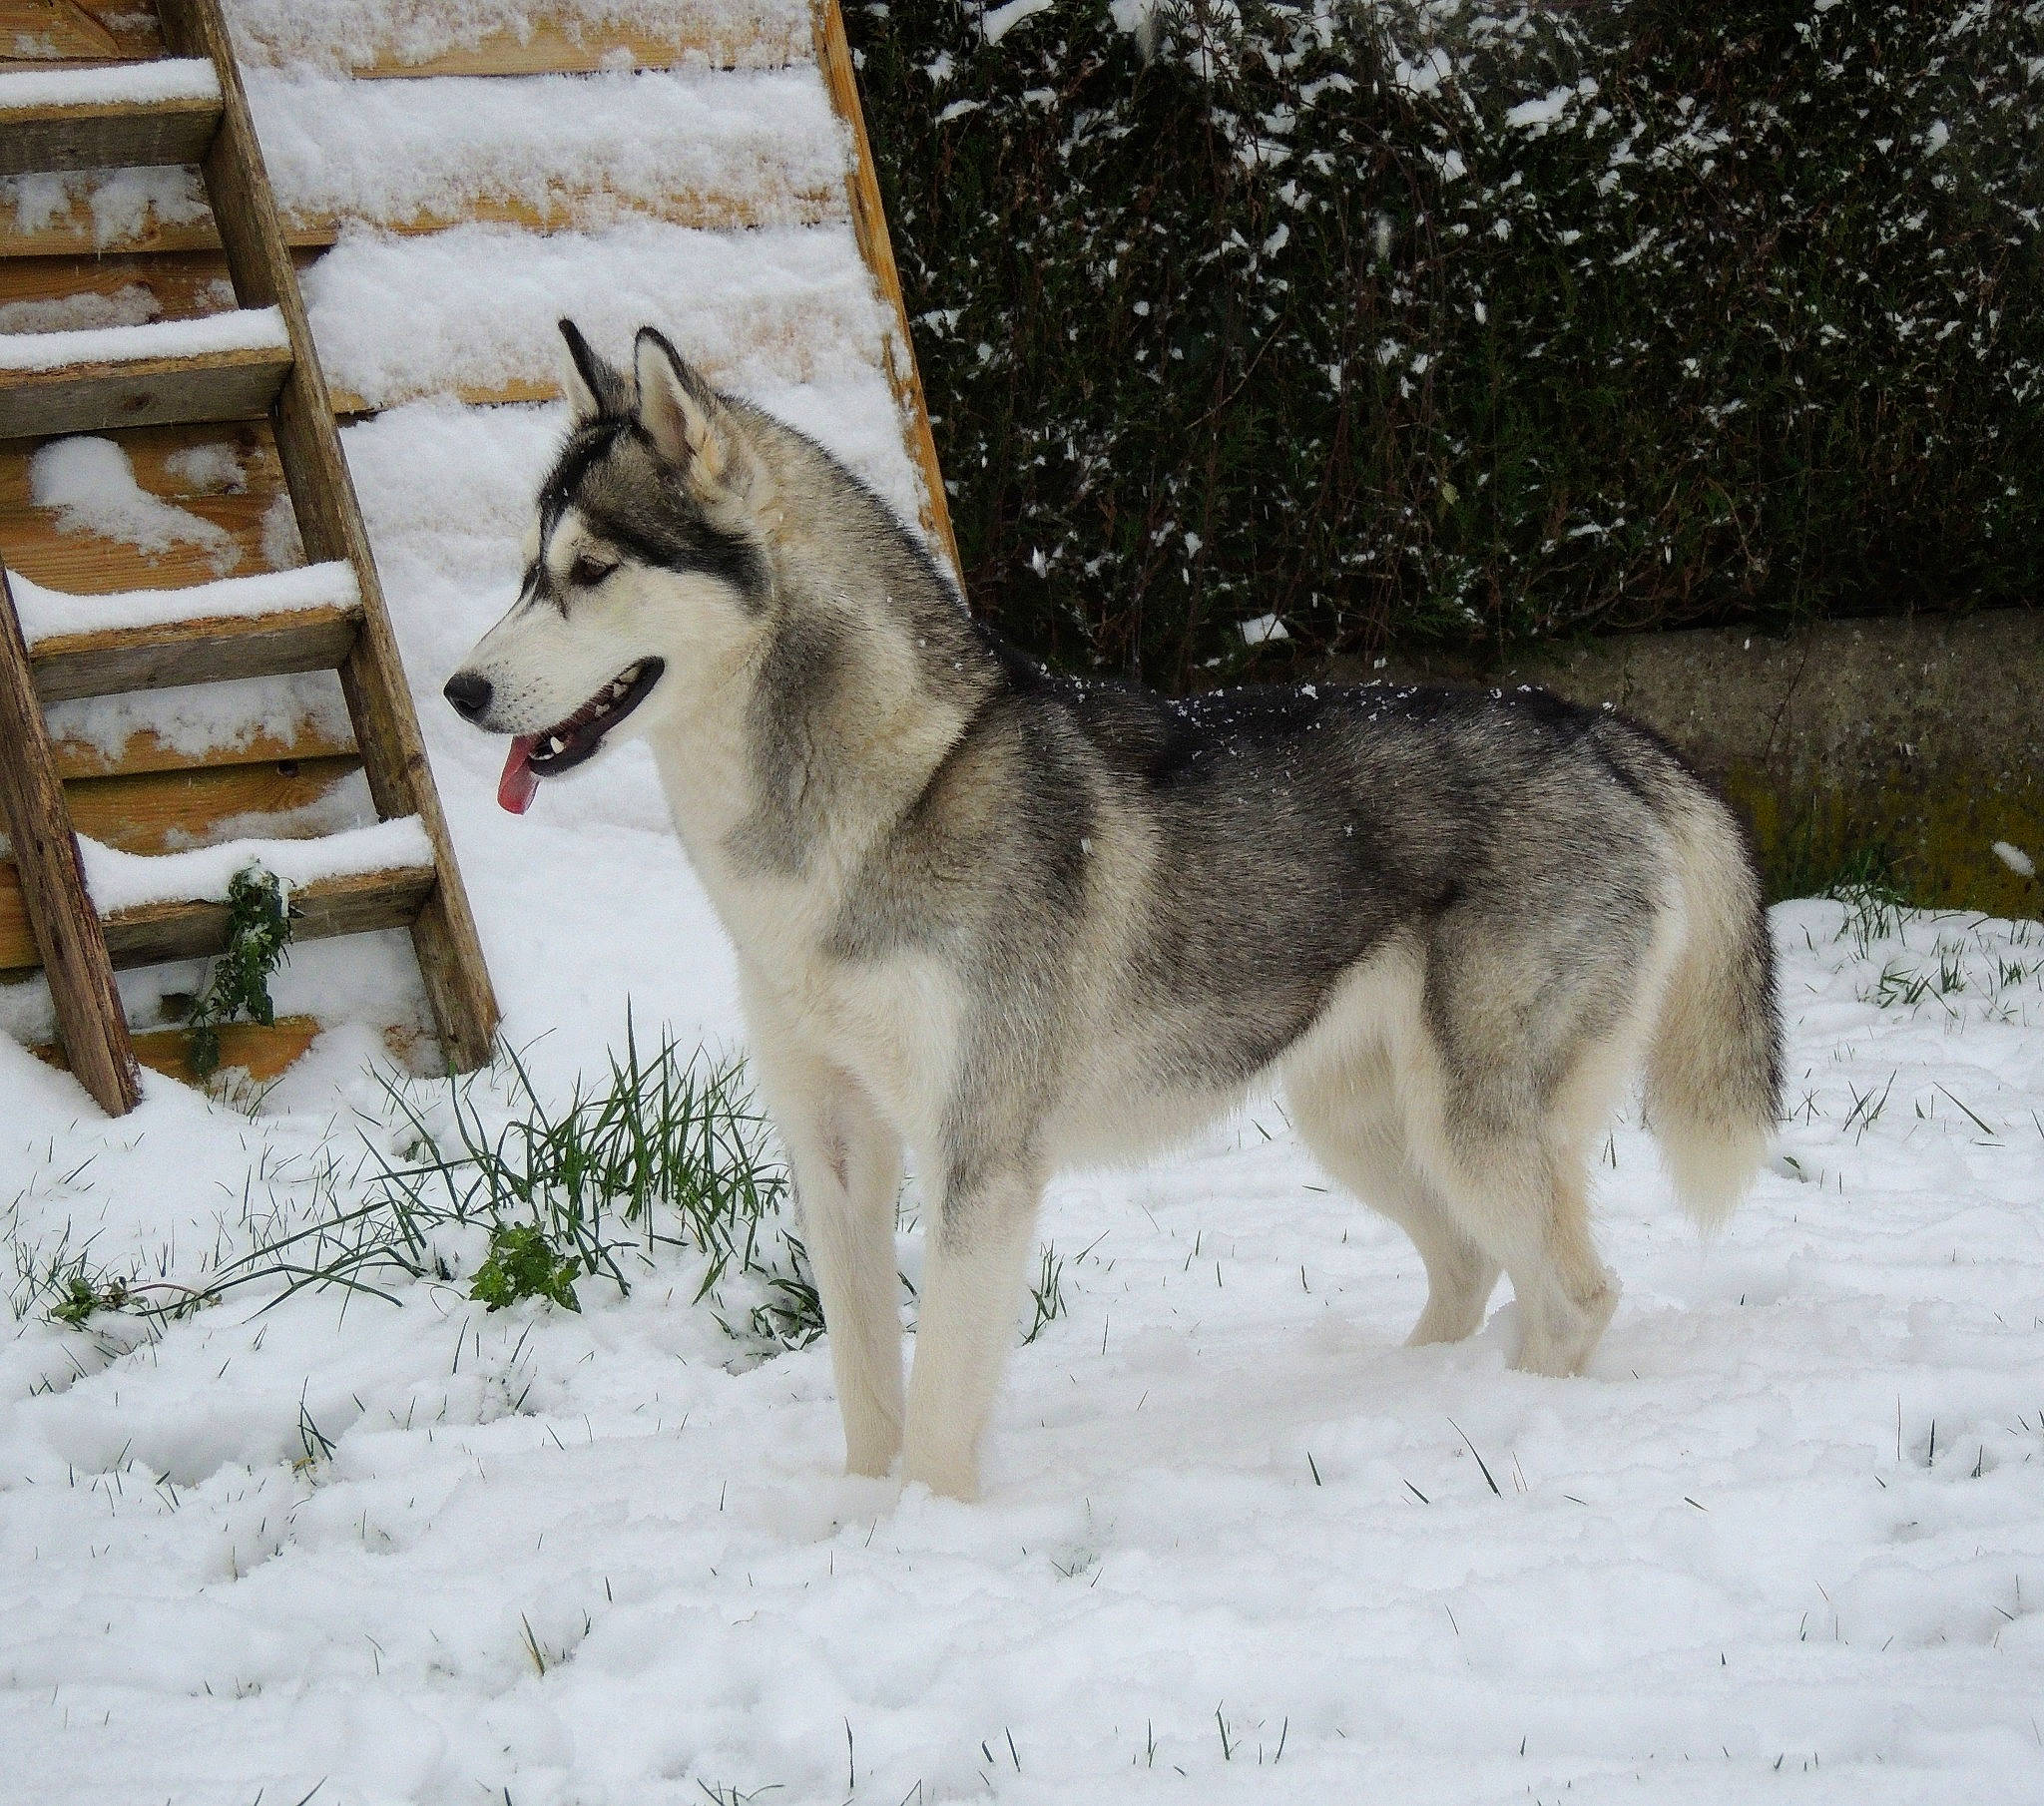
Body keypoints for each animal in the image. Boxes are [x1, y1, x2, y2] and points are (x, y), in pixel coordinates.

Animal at [445, 320, 1782, 1501]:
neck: (883, 799)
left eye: (592, 572)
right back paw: (1388, 1399)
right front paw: (856, 1521)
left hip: (1470, 1125)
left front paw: (924, 1536)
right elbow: (868, 1385)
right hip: (1356, 1119)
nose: (458, 690)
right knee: (1467, 1268)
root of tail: (1602, 728)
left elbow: (941, 1400)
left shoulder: (979, 1154)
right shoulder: (834, 1149)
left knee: (1572, 1295)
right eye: (523, 571)